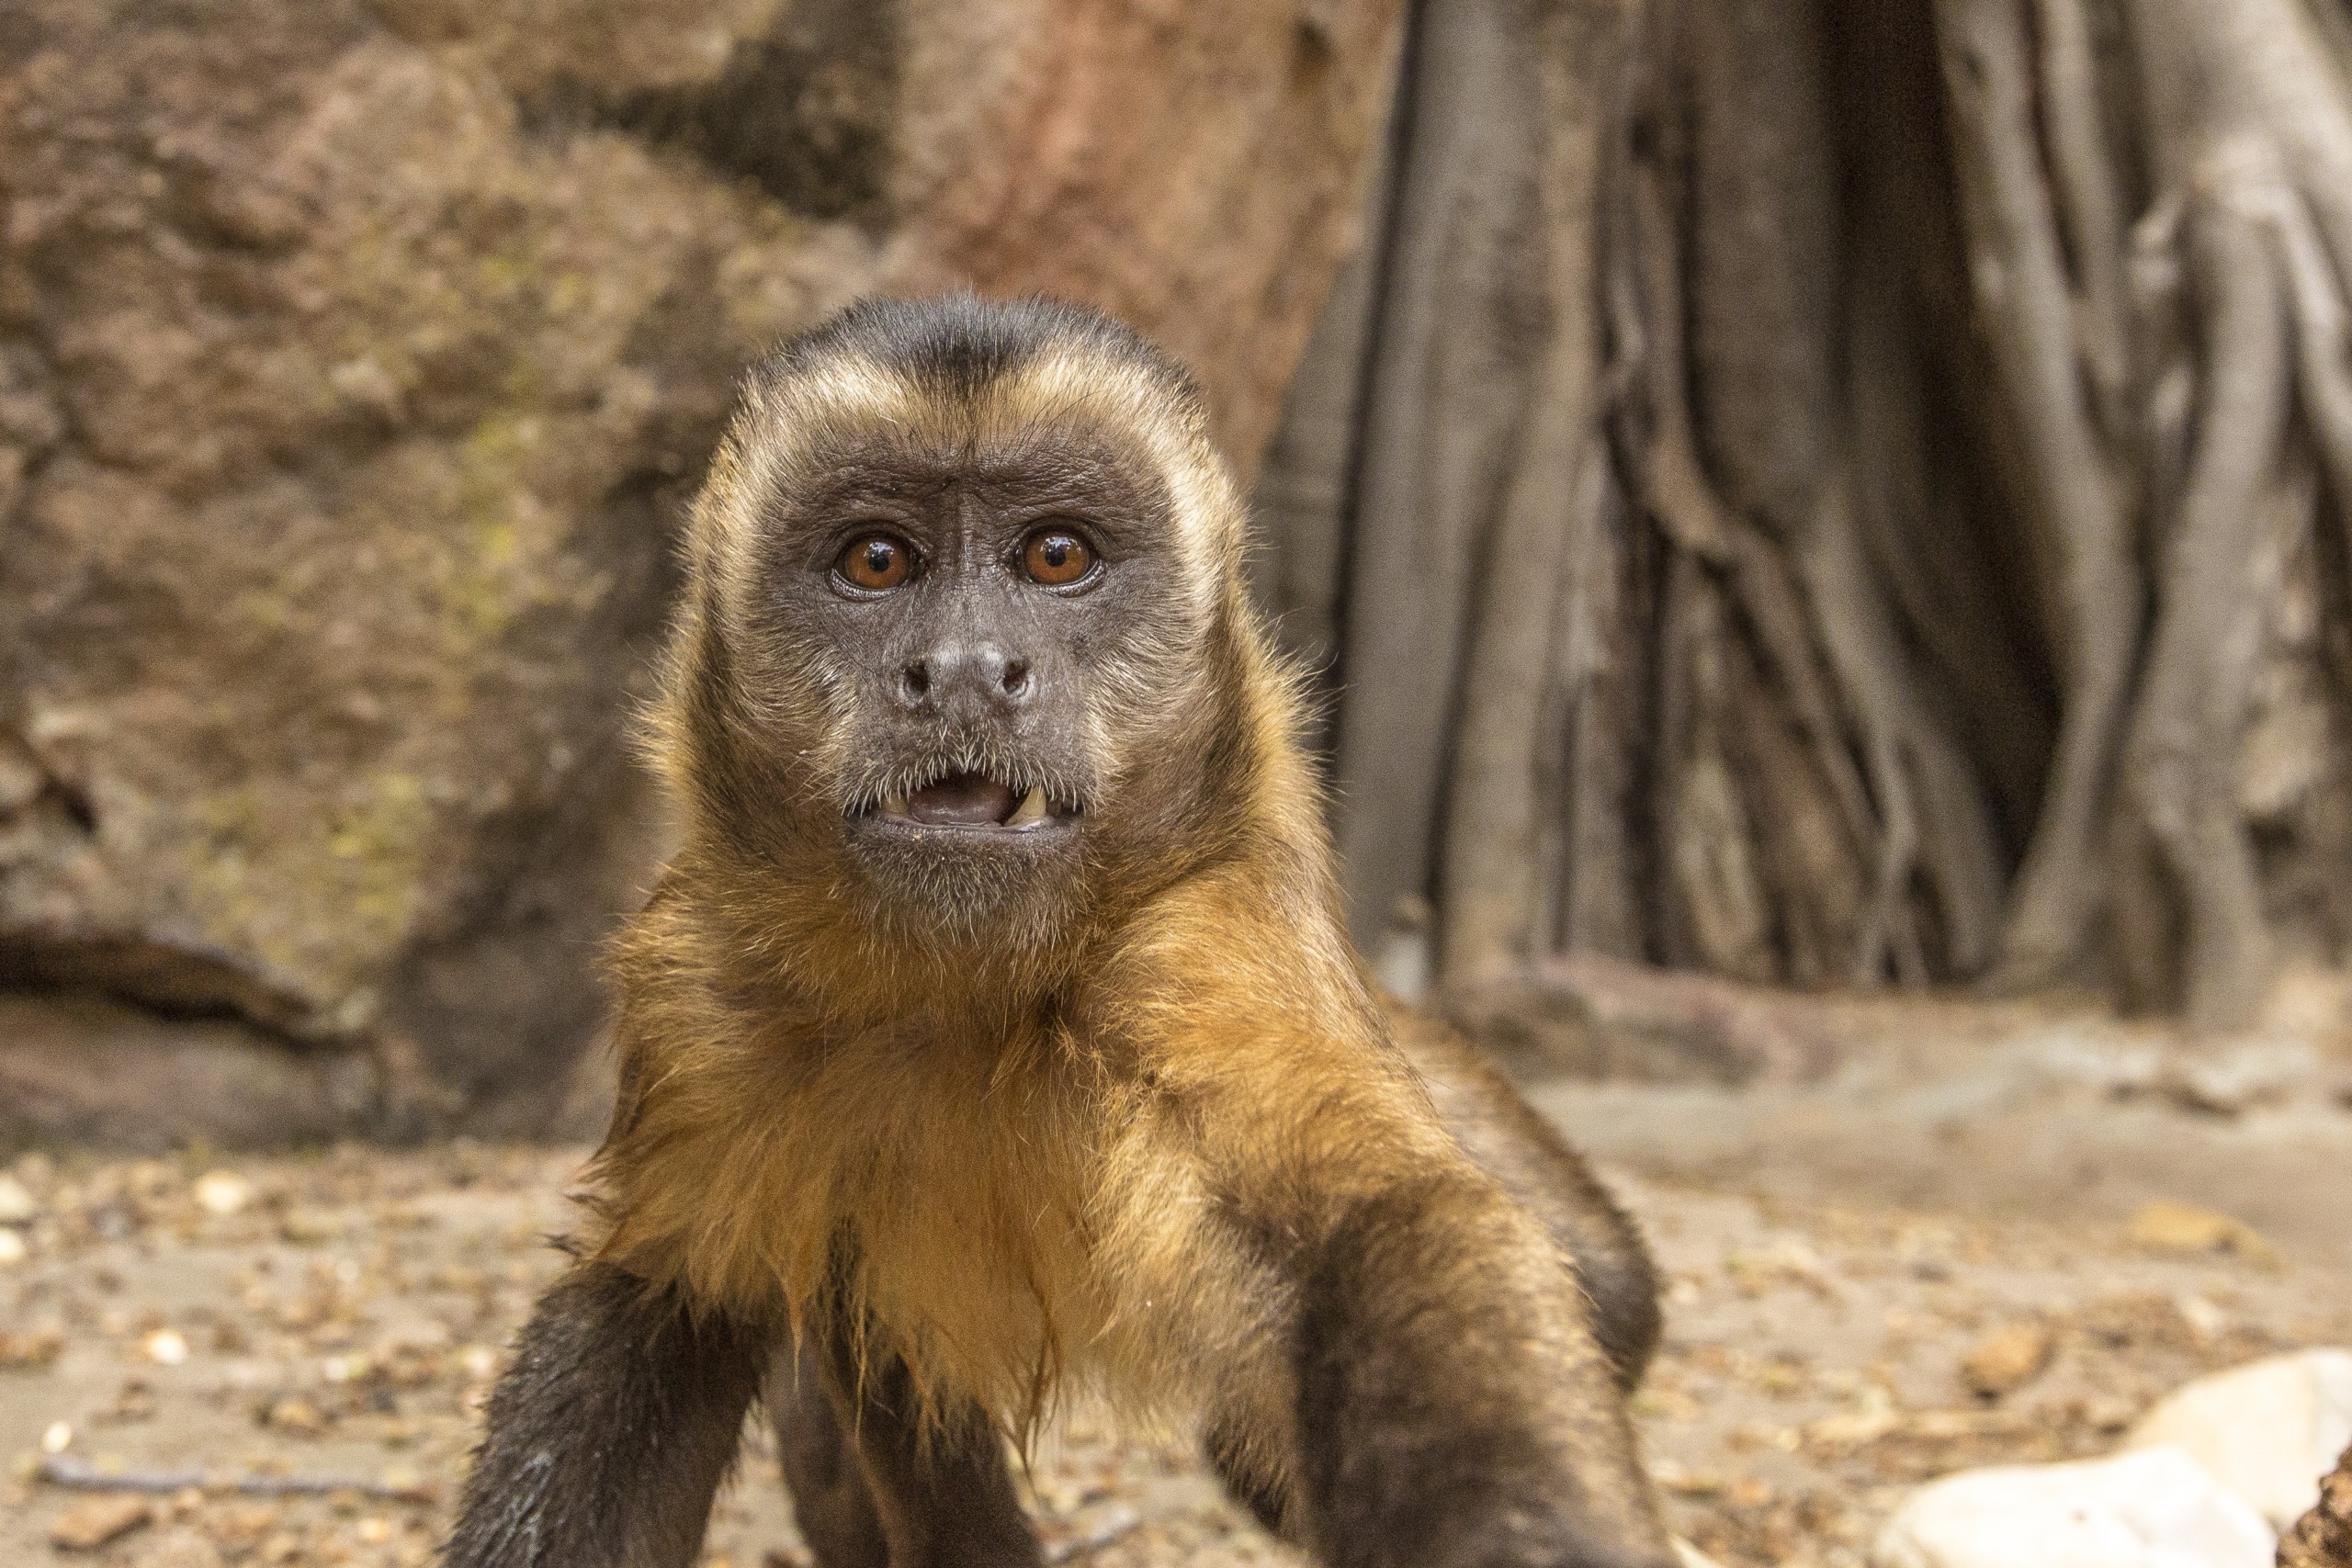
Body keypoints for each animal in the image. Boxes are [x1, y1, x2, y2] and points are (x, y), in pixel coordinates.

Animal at [444, 297, 1674, 1568]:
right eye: (876, 561)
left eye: (1055, 557)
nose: (966, 671)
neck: (967, 999)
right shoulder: (707, 989)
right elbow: (657, 1302)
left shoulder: (1202, 943)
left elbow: (1377, 1232)